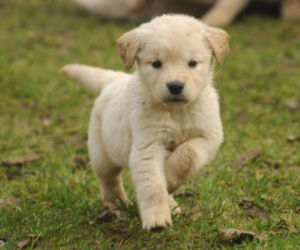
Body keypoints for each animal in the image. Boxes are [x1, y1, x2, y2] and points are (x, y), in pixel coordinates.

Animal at [61, 14, 230, 230]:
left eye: (193, 63)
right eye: (156, 64)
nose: (175, 86)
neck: (177, 111)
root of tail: (115, 79)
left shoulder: (208, 137)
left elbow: (187, 155)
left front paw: (170, 179)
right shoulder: (148, 146)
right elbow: (153, 187)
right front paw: (157, 218)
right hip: (102, 153)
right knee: (109, 180)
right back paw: (116, 204)